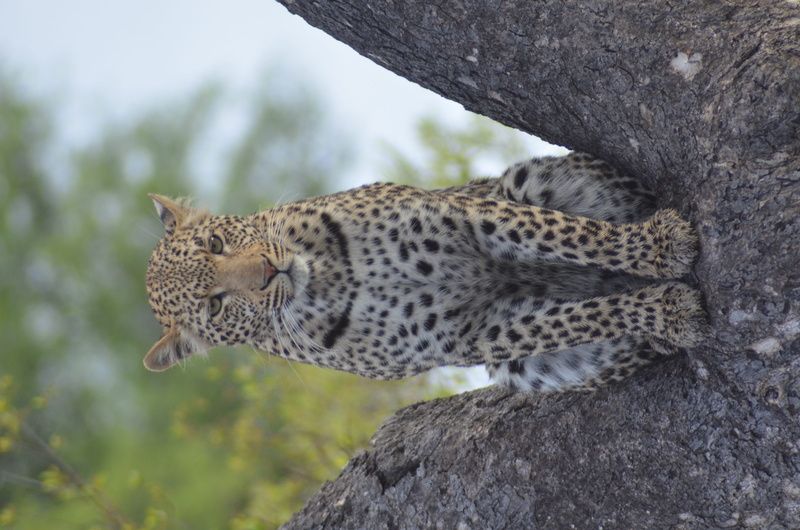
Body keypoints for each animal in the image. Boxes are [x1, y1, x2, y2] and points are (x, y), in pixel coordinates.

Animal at [144, 152, 707, 393]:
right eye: (215, 304)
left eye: (216, 244)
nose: (268, 271)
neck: (327, 276)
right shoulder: (476, 334)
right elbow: (581, 319)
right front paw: (669, 310)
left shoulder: (471, 216)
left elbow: (569, 235)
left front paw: (660, 246)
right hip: (525, 371)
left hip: (523, 180)